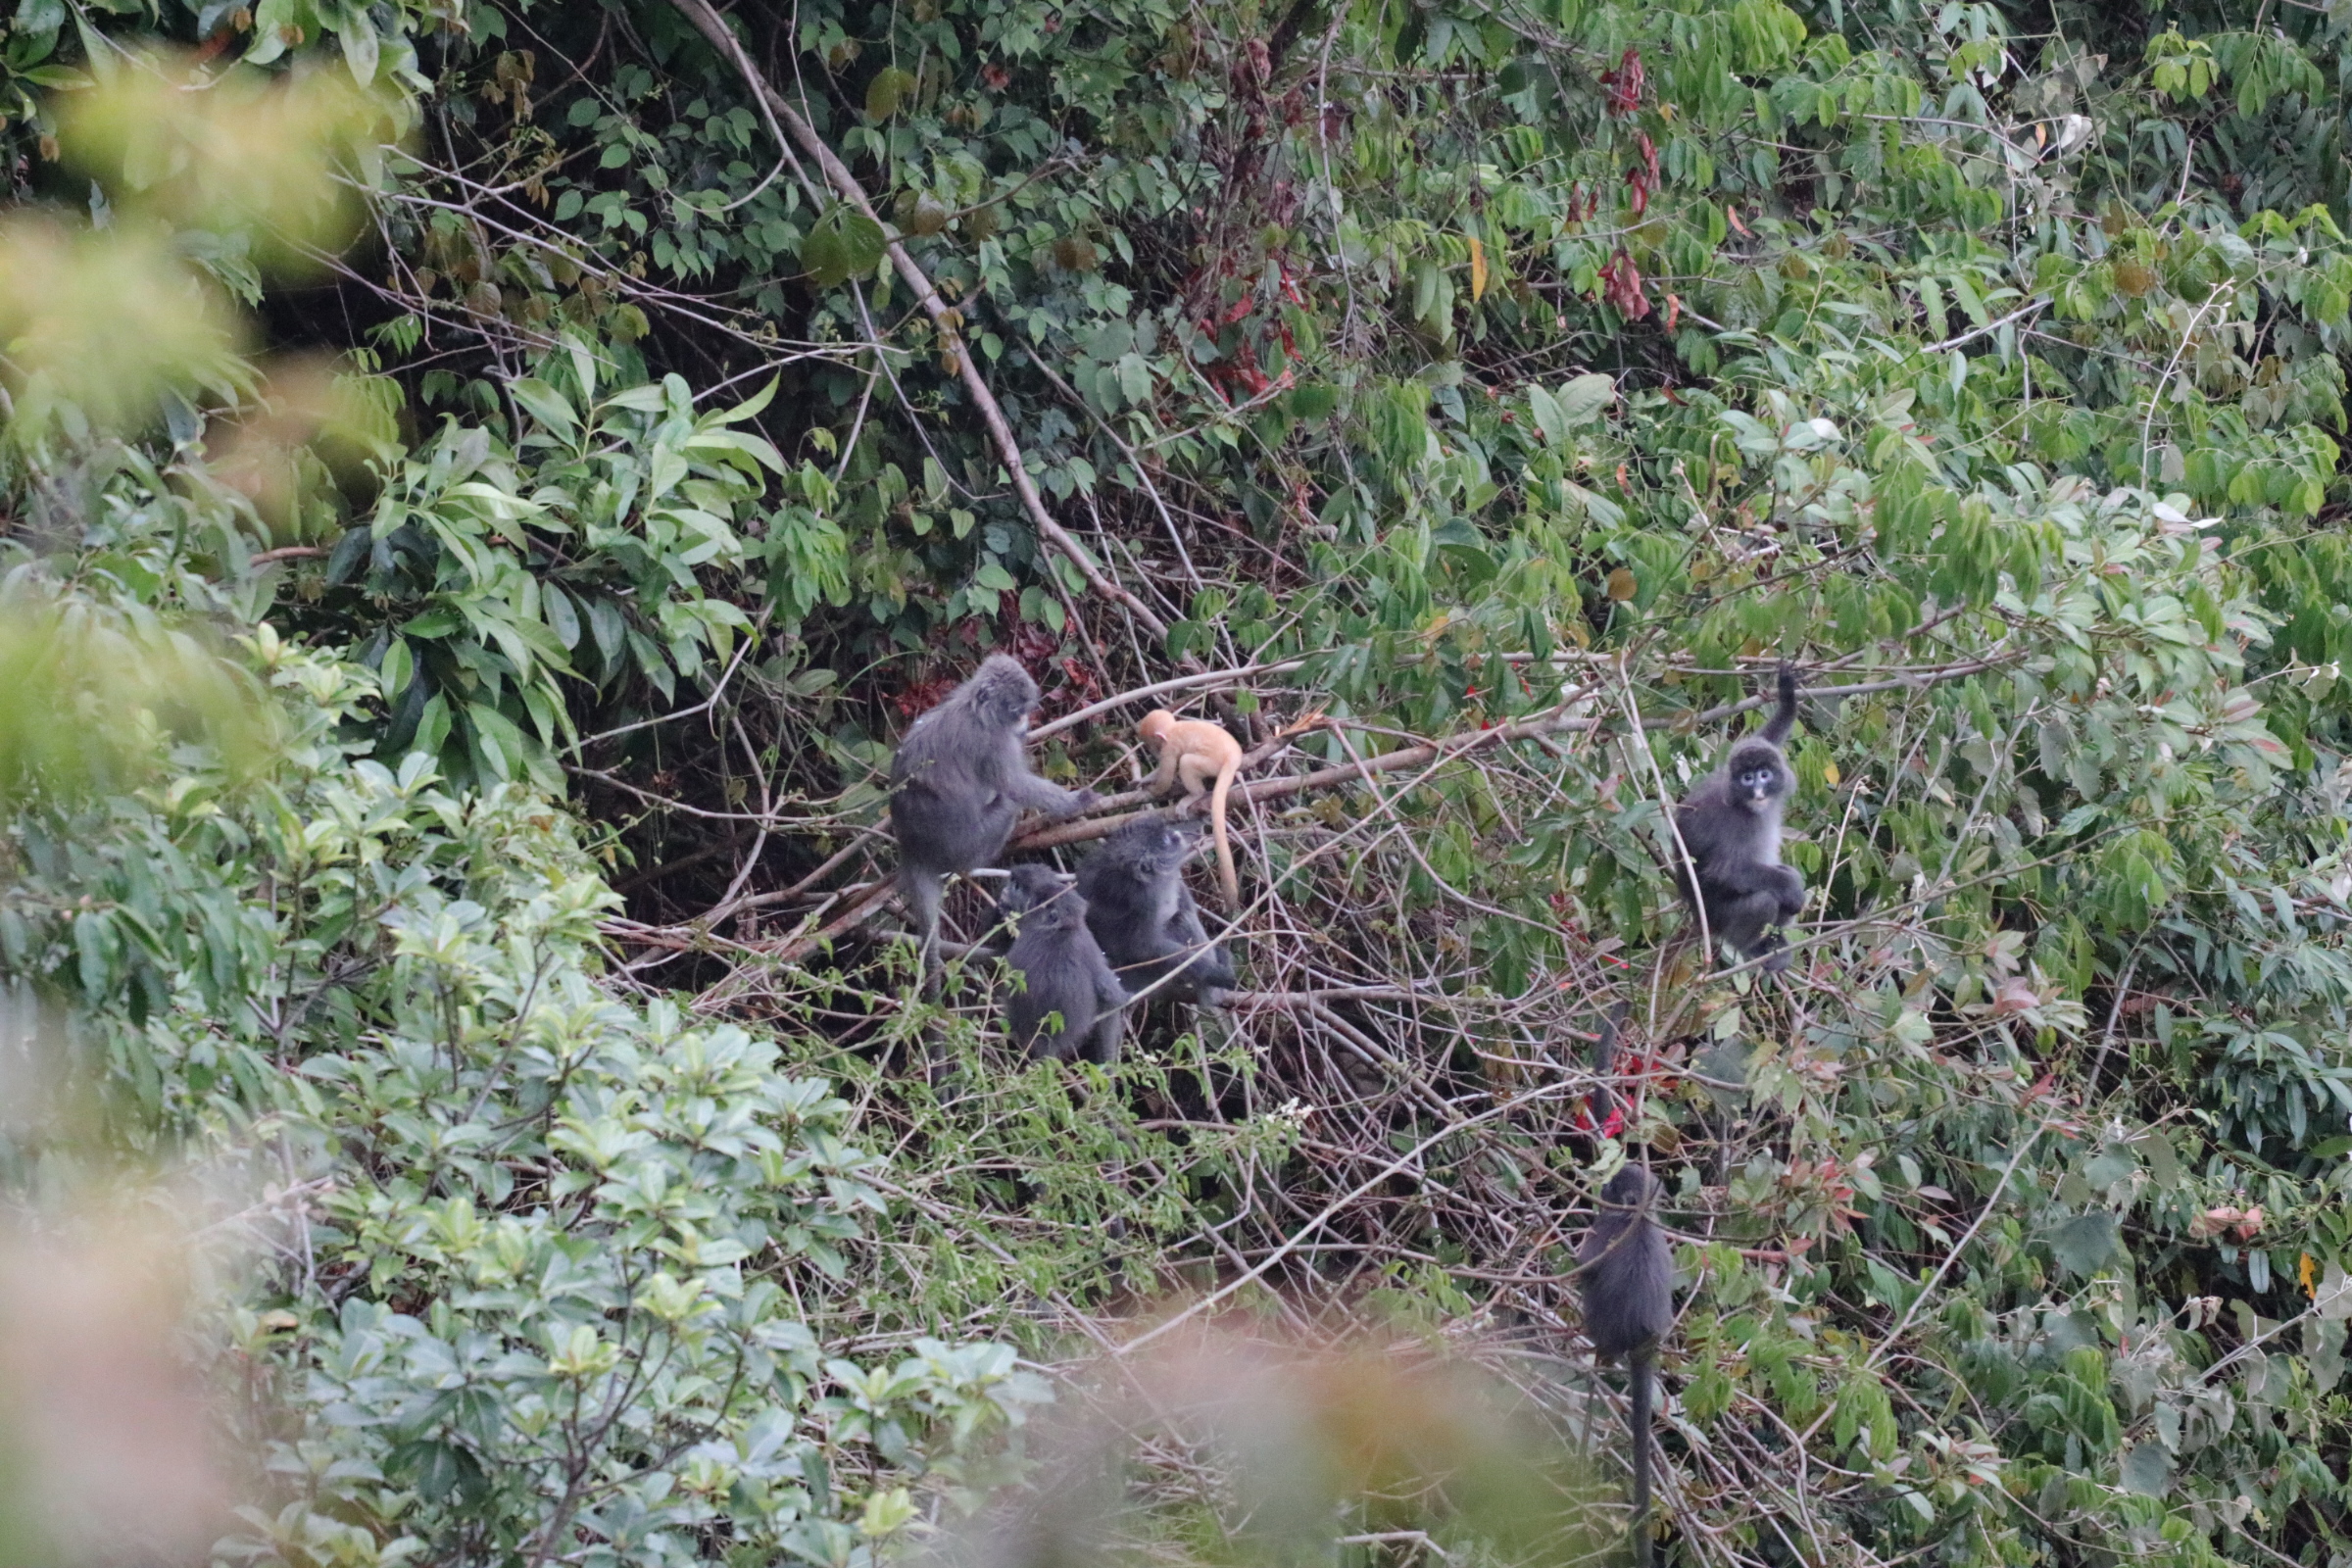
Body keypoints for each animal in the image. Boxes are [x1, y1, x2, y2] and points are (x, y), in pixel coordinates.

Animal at [889, 653, 1101, 973]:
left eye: (1023, 709)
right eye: (1014, 709)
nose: (1023, 720)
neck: (975, 711)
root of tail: (915, 850)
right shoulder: (993, 742)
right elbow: (1014, 785)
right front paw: (1076, 802)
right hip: (970, 845)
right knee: (1008, 804)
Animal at [1002, 869, 1129, 1067]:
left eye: (1017, 888)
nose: (1005, 890)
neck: (1060, 930)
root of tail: (1046, 1039)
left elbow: (1113, 998)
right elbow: (1112, 999)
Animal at [1138, 710, 1250, 906]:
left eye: (1153, 744)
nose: (1152, 751)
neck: (1173, 728)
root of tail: (1233, 756)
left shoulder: (1169, 747)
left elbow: (1166, 778)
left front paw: (1153, 790)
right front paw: (1146, 780)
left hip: (1212, 764)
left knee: (1186, 761)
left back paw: (1195, 795)